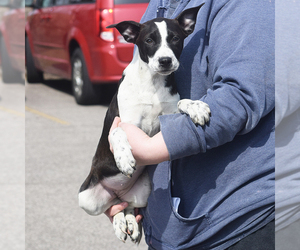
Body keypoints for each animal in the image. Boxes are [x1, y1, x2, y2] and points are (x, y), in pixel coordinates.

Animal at [78, 4, 209, 244]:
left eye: (175, 38)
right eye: (149, 40)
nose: (165, 61)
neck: (152, 83)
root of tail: (119, 192)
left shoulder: (162, 122)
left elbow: (181, 102)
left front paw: (196, 107)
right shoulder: (125, 121)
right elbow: (117, 132)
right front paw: (124, 158)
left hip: (142, 191)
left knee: (127, 206)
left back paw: (130, 224)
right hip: (87, 199)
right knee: (113, 208)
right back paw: (119, 225)